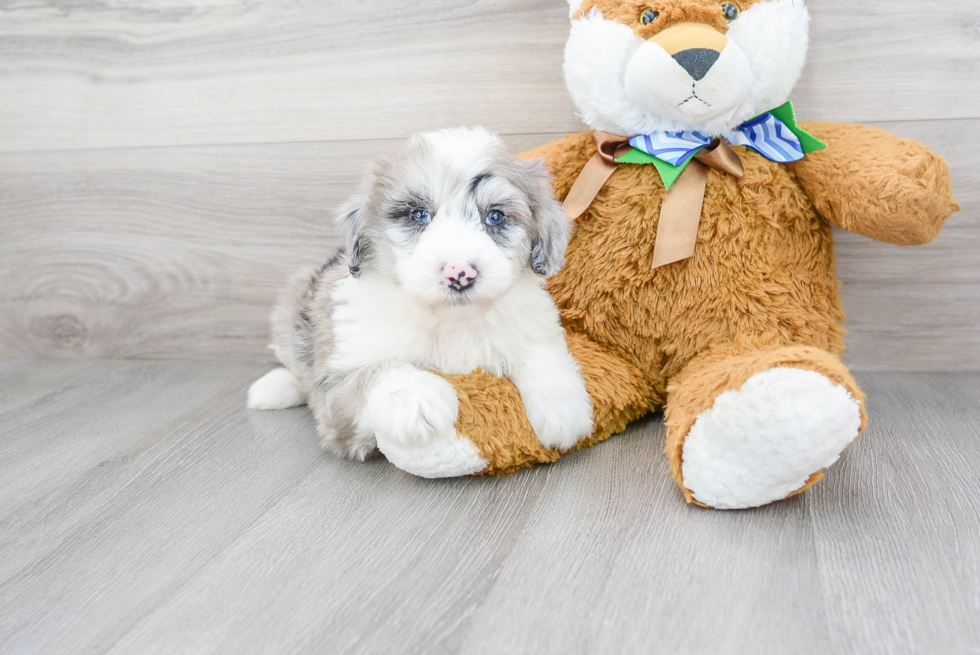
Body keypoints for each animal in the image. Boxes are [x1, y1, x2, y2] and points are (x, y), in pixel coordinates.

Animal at [249, 128, 592, 464]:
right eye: (418, 215)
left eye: (495, 217)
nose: (459, 272)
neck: (450, 321)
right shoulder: (335, 390)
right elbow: (377, 370)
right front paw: (416, 397)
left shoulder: (531, 325)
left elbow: (541, 351)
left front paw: (563, 408)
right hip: (295, 299)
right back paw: (272, 388)